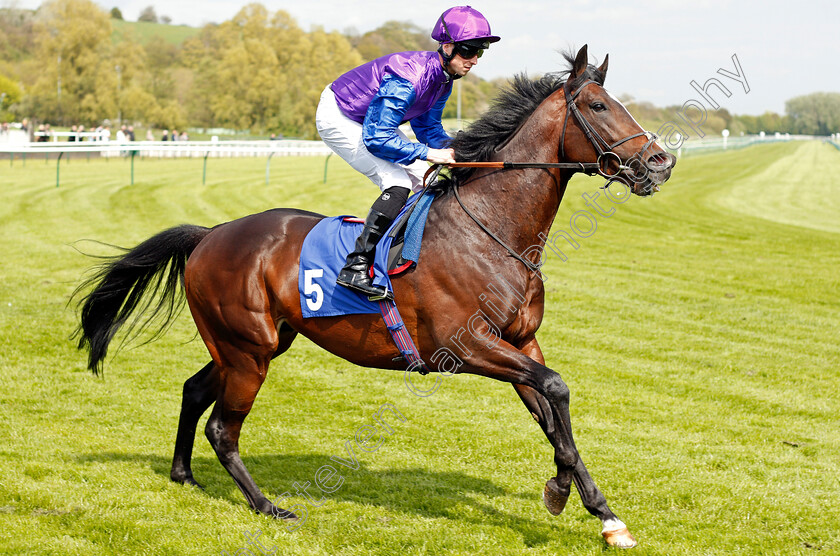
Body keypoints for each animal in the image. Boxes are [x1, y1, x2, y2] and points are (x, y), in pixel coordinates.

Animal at [72, 46, 676, 548]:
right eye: (598, 105)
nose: (660, 163)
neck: (491, 230)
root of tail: (210, 234)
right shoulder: (467, 346)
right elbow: (555, 390)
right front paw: (571, 495)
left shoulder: (521, 342)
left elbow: (553, 411)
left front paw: (600, 512)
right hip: (248, 350)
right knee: (223, 427)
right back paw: (268, 506)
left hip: (250, 343)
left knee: (195, 391)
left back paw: (183, 474)